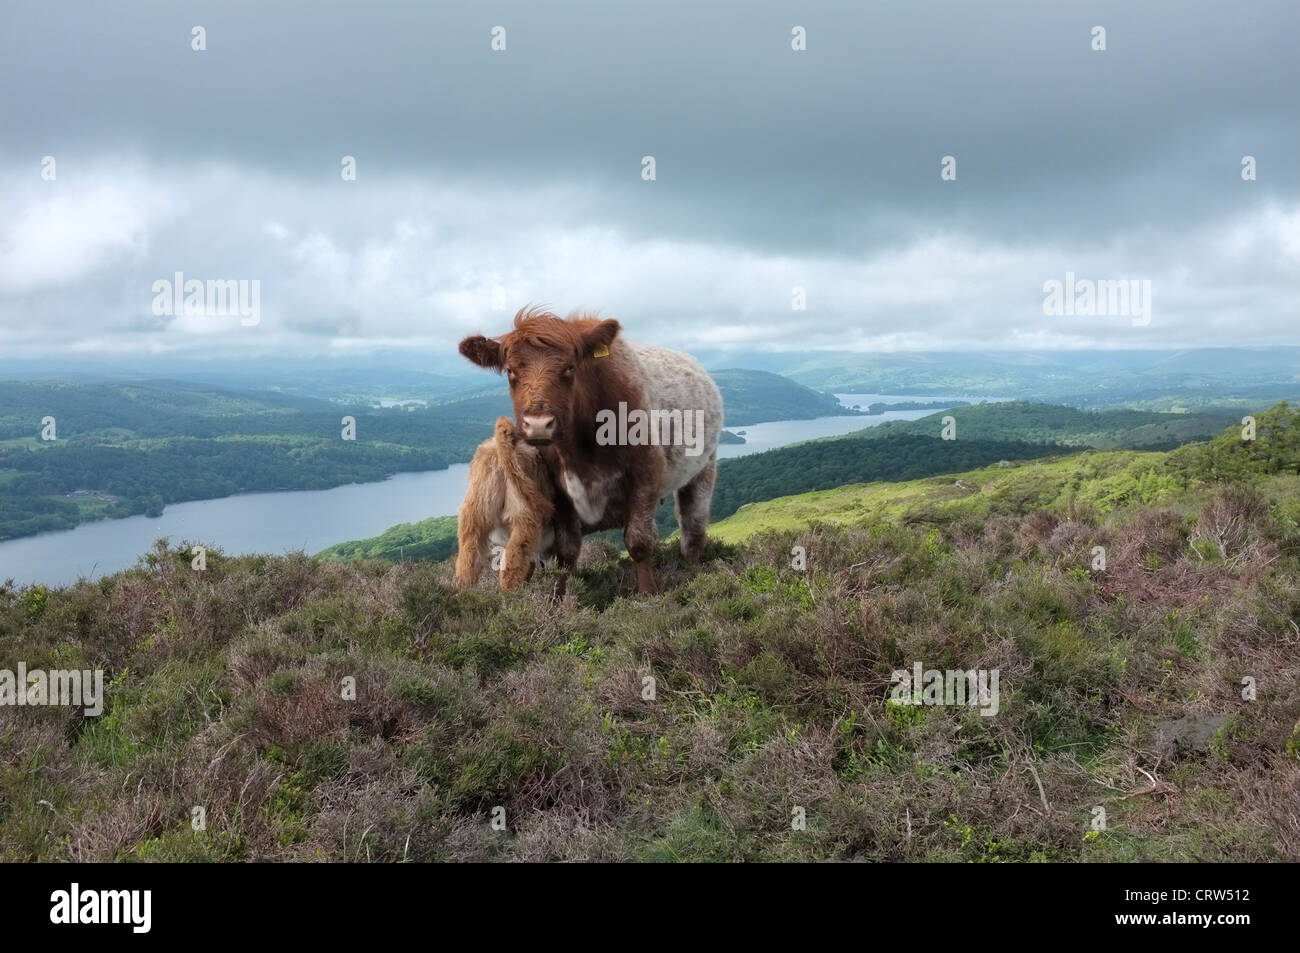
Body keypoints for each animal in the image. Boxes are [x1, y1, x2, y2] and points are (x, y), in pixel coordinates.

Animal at [457, 308, 722, 590]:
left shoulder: (645, 474)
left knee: (692, 527)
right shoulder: (560, 495)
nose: (538, 425)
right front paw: (559, 597)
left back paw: (694, 573)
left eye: (570, 367)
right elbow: (567, 552)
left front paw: (649, 593)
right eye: (510, 370)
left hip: (703, 469)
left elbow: (638, 541)